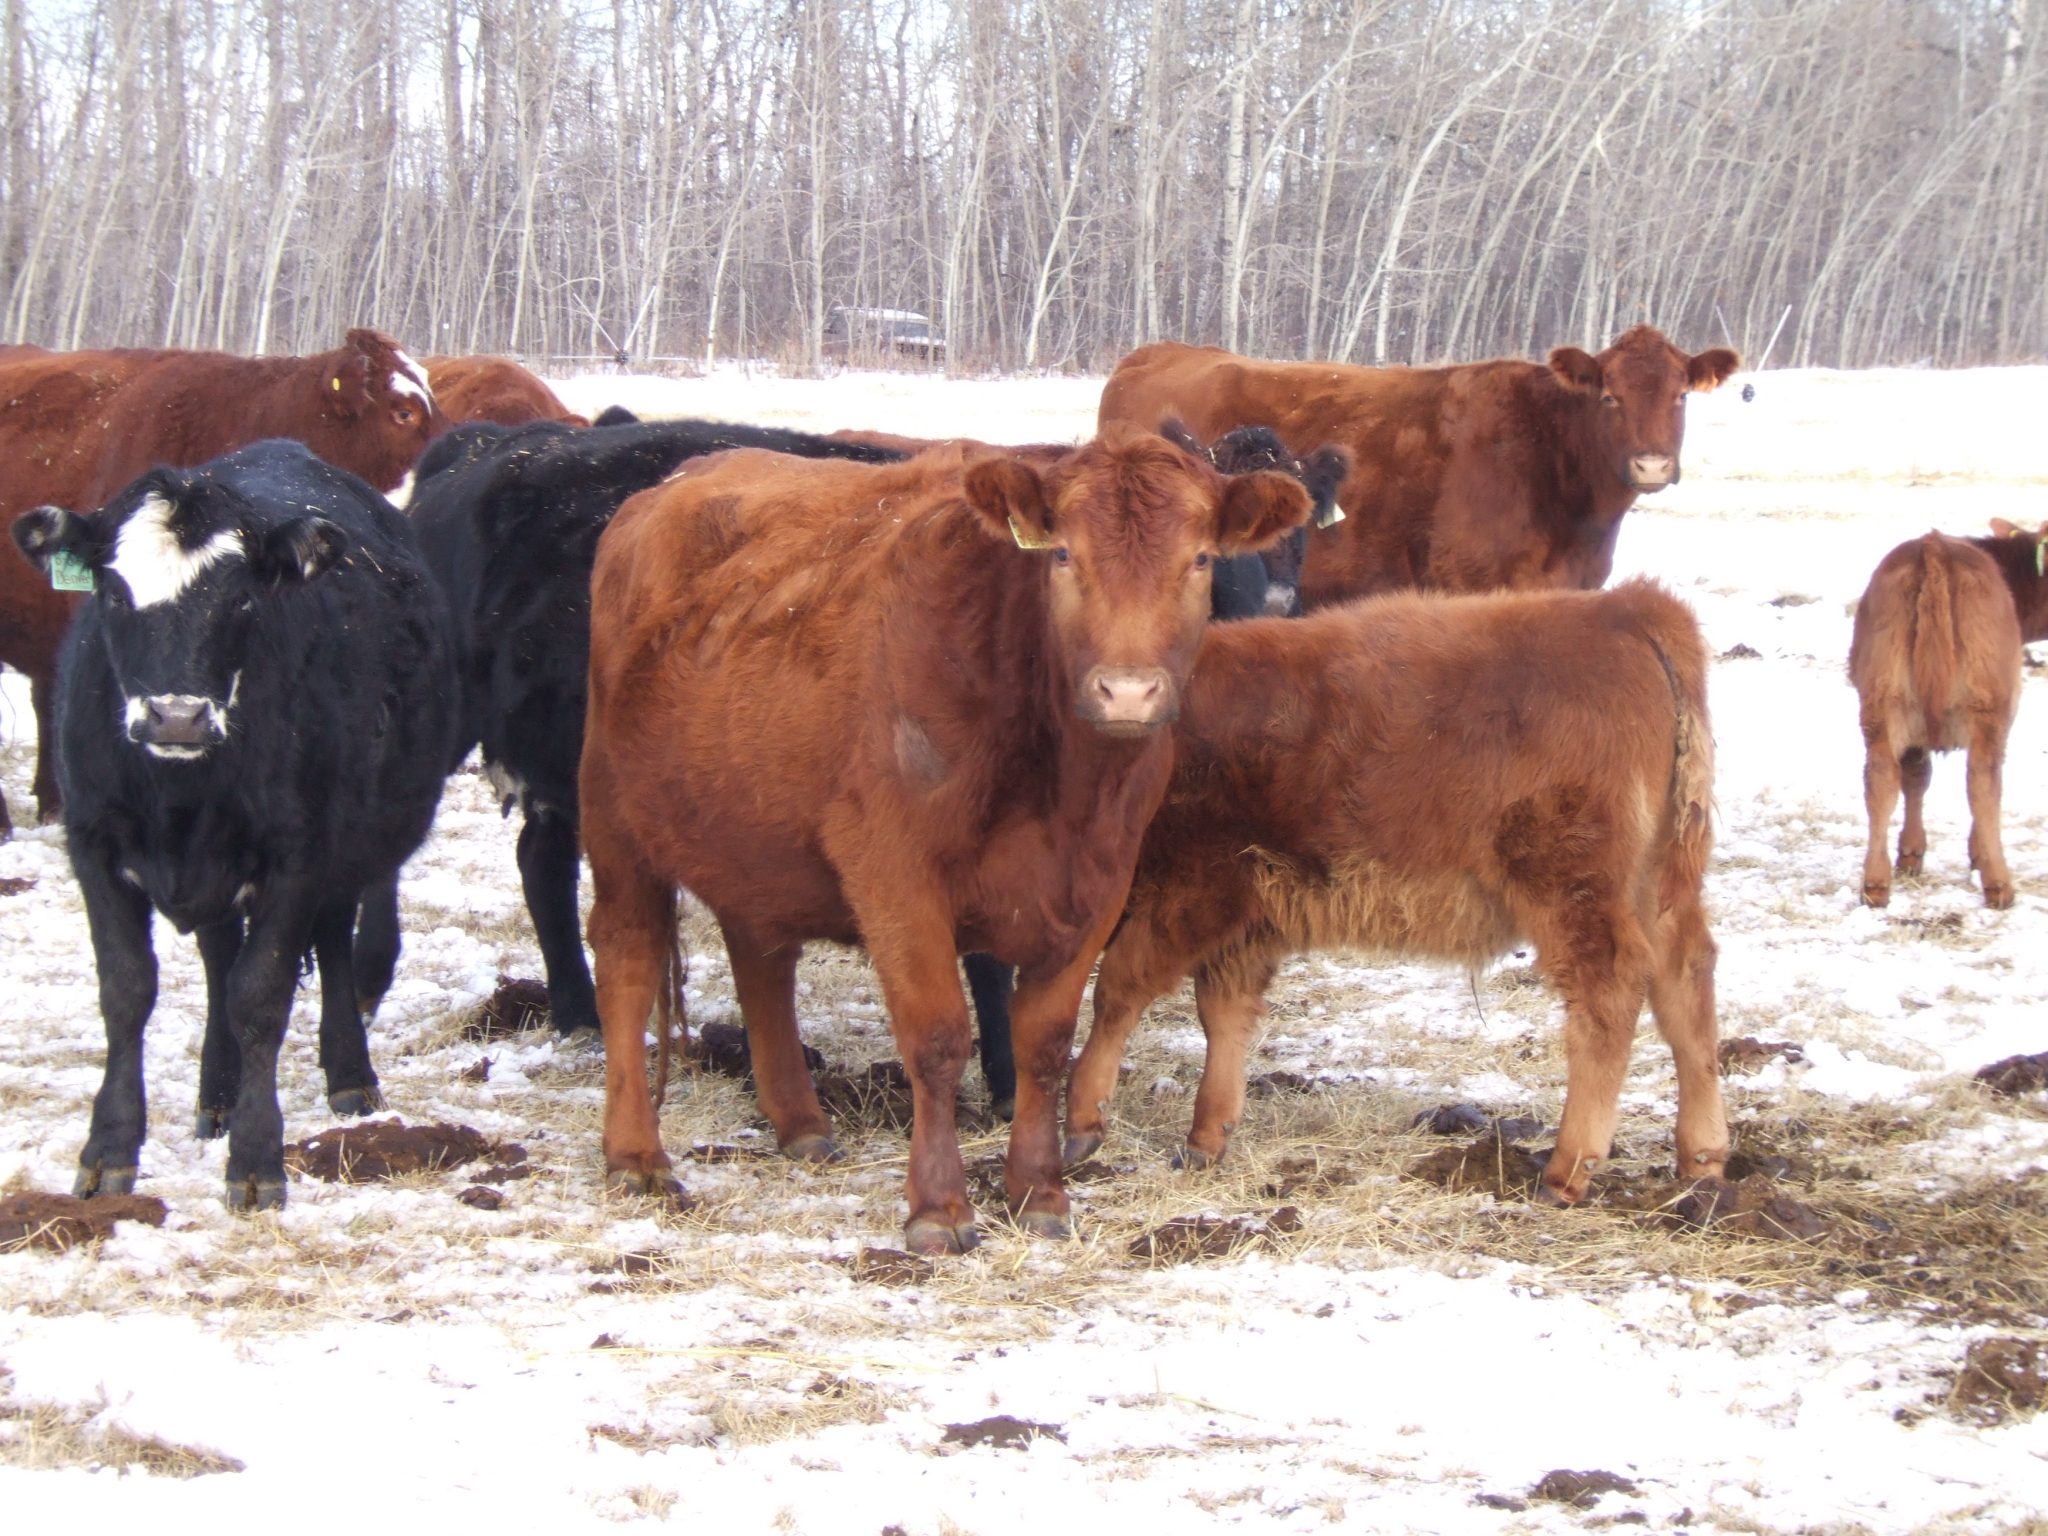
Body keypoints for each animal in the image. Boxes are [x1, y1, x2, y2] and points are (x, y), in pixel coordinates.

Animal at [10, 439, 458, 1209]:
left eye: (241, 598)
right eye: (113, 594)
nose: (176, 716)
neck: (180, 791)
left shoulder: (296, 858)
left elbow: (261, 994)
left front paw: (256, 1158)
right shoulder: (93, 845)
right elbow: (127, 989)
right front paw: (109, 1148)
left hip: (343, 850)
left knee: (329, 943)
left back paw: (348, 1076)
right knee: (220, 955)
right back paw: (215, 1093)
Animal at [580, 428, 1315, 1252]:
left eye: (1200, 559)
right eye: (1063, 554)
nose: (1126, 691)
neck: (1061, 784)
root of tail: (670, 485)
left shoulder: (1100, 881)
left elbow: (1044, 1042)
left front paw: (1039, 1192)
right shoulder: (893, 871)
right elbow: (937, 1037)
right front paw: (939, 1208)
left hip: (752, 828)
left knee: (761, 959)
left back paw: (800, 1123)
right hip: (613, 816)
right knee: (628, 961)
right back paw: (636, 1155)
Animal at [1059, 579, 1727, 1207]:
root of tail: (1623, 607)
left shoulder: (1196, 891)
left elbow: (1118, 989)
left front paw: (1084, 1118)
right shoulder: (1248, 916)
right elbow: (1221, 1014)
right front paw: (1205, 1138)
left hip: (1572, 888)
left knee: (1608, 991)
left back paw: (1567, 1170)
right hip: (1653, 887)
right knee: (1685, 983)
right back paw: (1701, 1159)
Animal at [1850, 521, 2048, 910]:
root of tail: (1934, 546)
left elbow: (1915, 778)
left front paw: (1910, 854)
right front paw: (1976, 854)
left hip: (1883, 702)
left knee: (1881, 779)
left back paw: (1875, 884)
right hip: (1989, 709)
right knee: (1982, 781)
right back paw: (1998, 884)